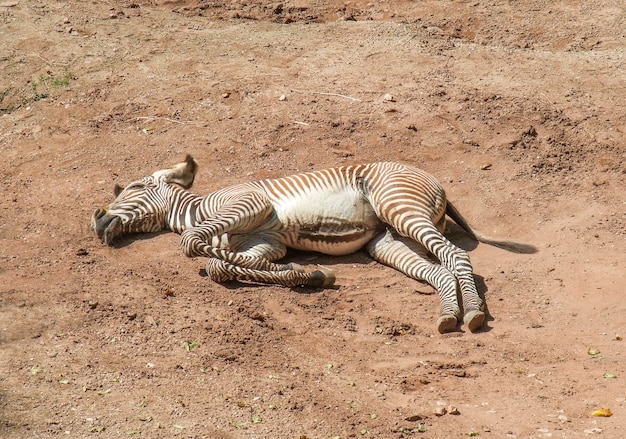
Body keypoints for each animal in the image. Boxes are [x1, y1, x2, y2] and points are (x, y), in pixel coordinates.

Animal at [90, 155, 532, 334]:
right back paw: (450, 315)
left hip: (399, 204)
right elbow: (222, 264)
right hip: (385, 240)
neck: (198, 208)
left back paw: (473, 312)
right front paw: (307, 273)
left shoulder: (248, 203)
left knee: (455, 254)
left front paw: (309, 272)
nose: (96, 220)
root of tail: (432, 179)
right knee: (439, 269)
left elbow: (192, 244)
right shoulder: (267, 243)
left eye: (133, 187)